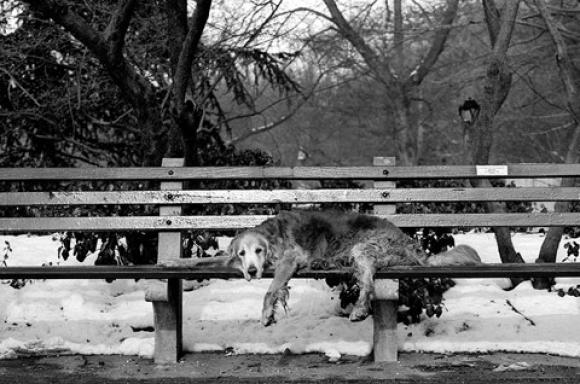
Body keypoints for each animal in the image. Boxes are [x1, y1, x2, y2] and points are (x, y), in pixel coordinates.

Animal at [225, 212, 480, 326]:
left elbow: (271, 290)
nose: (251, 272)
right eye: (241, 253)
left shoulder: (290, 258)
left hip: (362, 249)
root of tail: (409, 243)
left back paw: (358, 310)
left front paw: (266, 313)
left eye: (258, 250)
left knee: (367, 284)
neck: (273, 234)